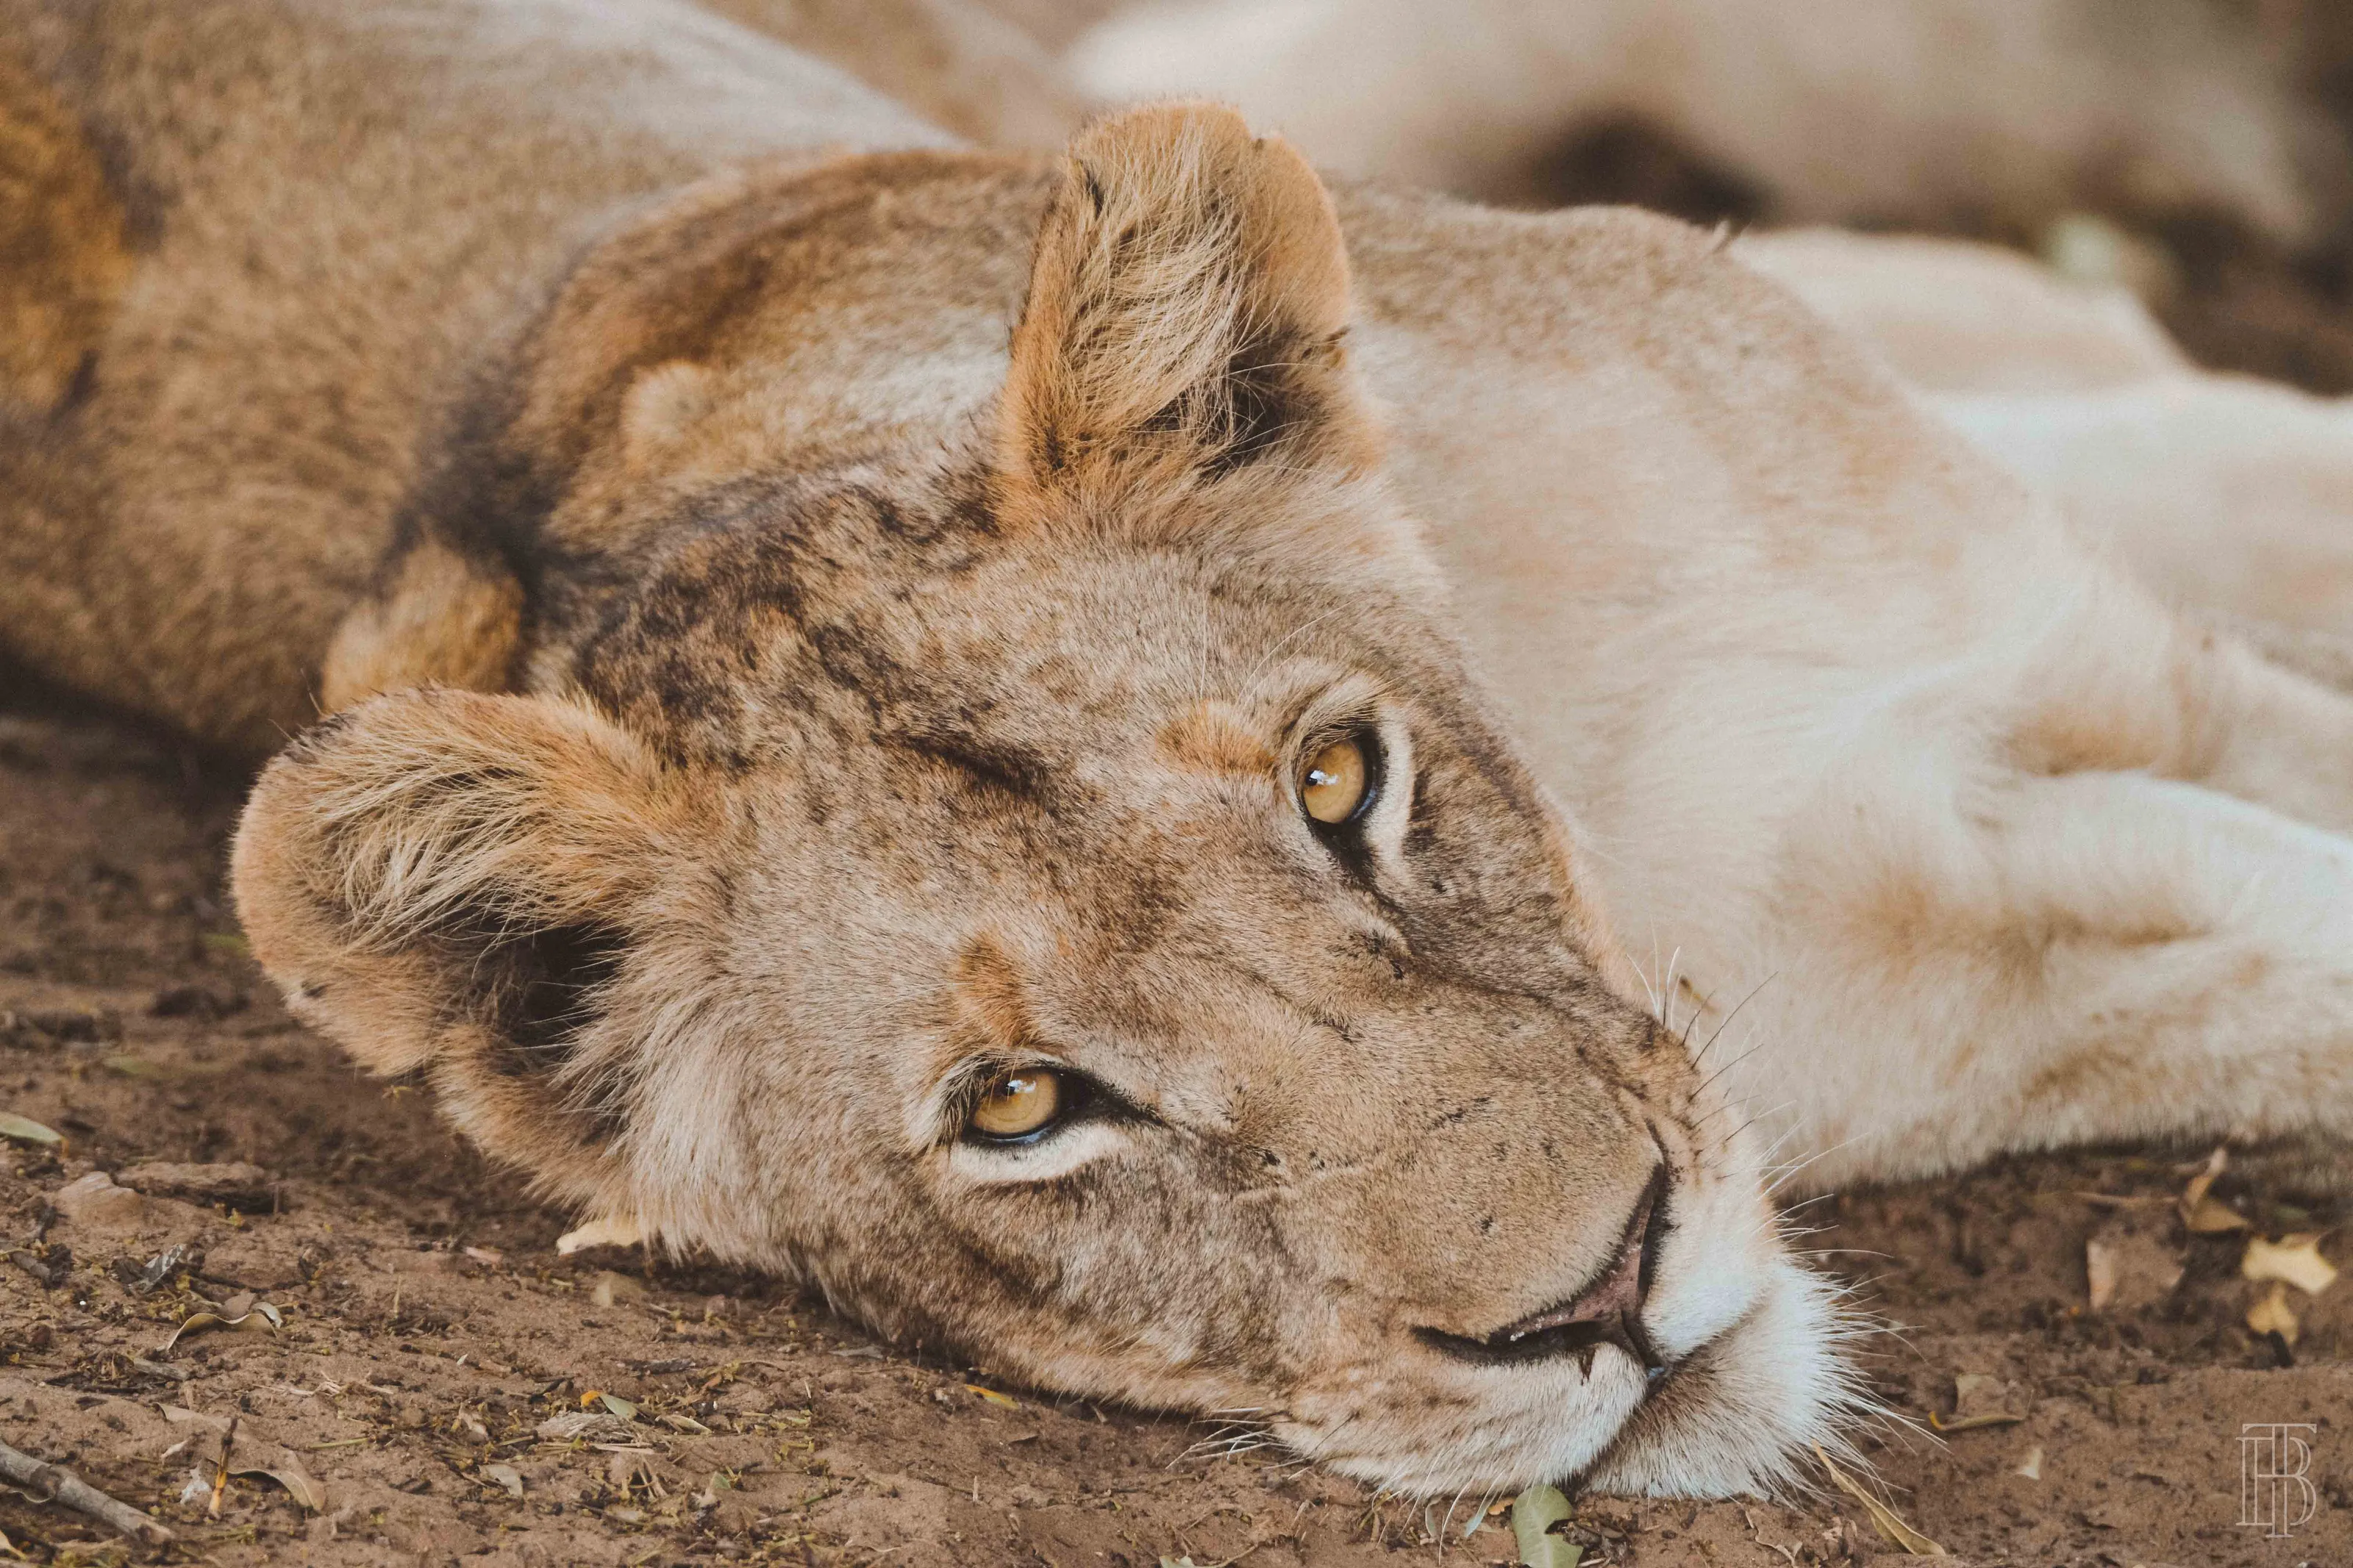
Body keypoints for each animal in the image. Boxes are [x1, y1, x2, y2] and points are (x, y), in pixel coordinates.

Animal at [5, 0, 2350, 1501]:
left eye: (1338, 783)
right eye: (1021, 1105)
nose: (1600, 1291)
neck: (1628, 789)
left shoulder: (2110, 652)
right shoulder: (2020, 963)